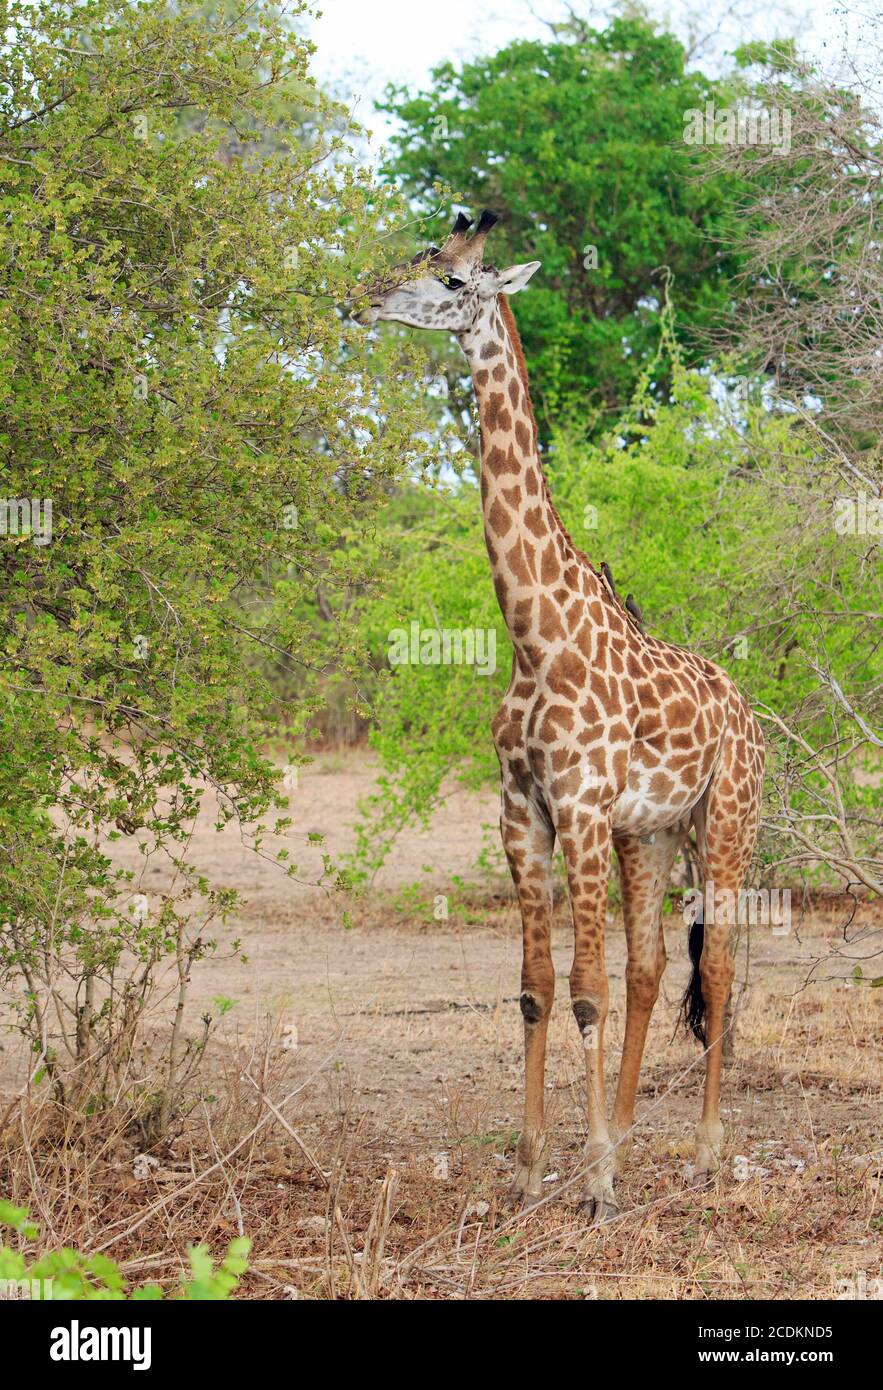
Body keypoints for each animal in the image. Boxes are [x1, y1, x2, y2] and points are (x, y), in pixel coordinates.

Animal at [354, 211, 767, 1223]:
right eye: (422, 255)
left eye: (454, 279)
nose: (364, 299)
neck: (532, 635)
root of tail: (748, 712)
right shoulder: (522, 812)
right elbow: (538, 988)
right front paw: (541, 1166)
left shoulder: (577, 807)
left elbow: (583, 990)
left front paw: (599, 1185)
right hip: (649, 834)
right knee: (652, 969)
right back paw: (621, 1131)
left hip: (725, 822)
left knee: (719, 965)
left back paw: (704, 1151)